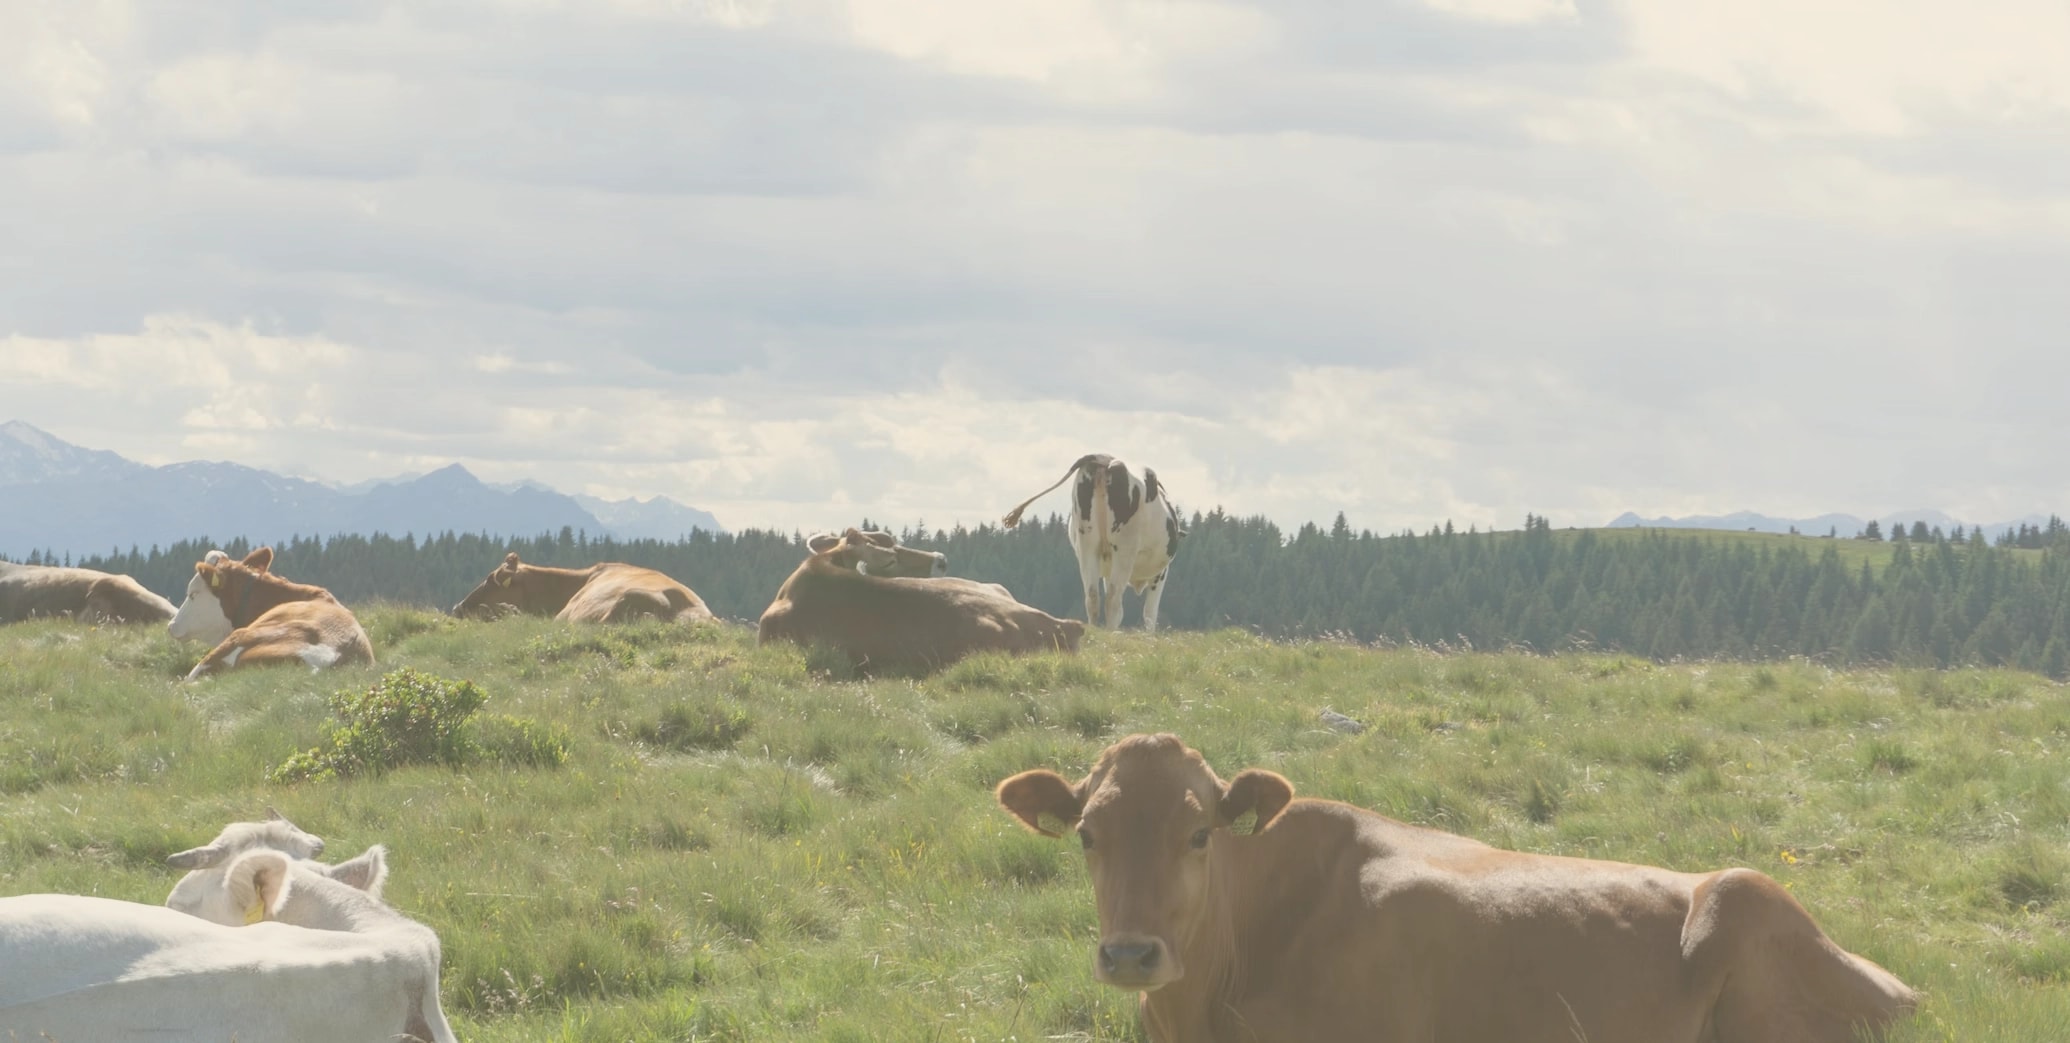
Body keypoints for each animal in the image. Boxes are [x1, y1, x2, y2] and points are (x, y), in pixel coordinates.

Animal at [1002, 453, 1185, 631]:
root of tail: (1104, 458)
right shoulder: (1161, 573)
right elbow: (1150, 613)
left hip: (1087, 545)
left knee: (1092, 596)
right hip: (1124, 548)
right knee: (1113, 599)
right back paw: (1111, 633)